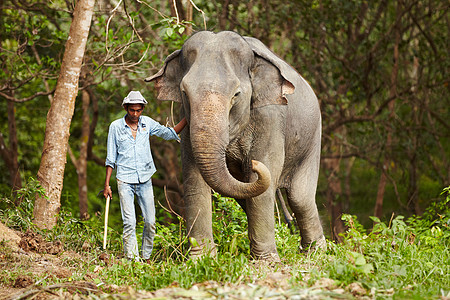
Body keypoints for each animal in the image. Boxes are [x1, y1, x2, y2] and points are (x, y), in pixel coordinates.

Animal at [146, 31, 326, 260]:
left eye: (236, 95)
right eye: (184, 93)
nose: (253, 165)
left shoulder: (270, 118)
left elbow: (263, 182)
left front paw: (266, 262)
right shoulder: (186, 120)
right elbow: (194, 179)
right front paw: (201, 259)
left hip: (313, 138)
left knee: (299, 197)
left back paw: (316, 253)